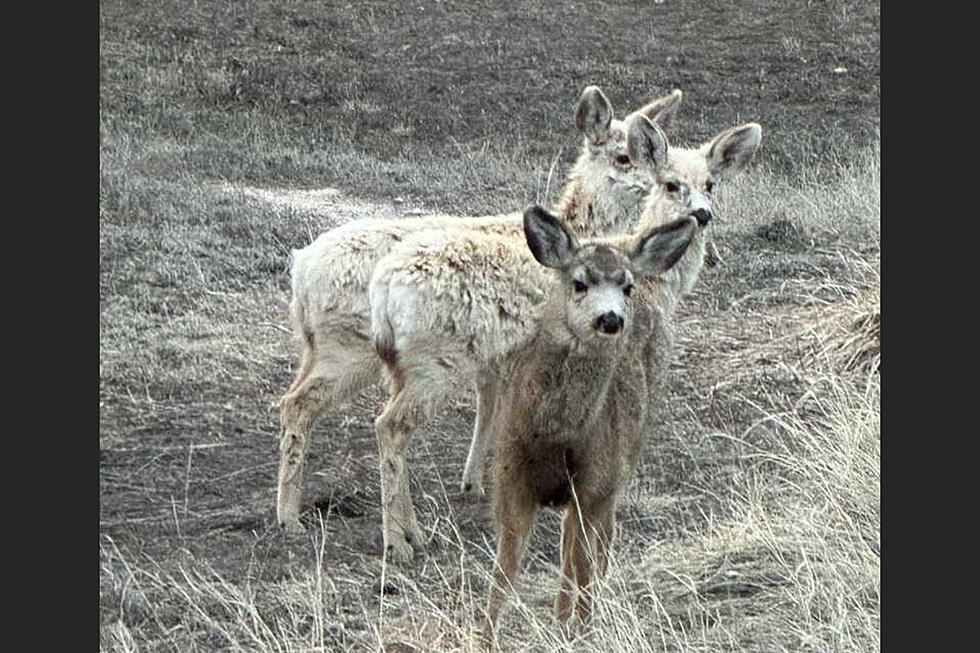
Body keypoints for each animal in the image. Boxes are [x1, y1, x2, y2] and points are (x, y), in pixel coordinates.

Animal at [280, 85, 684, 536]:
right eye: (624, 157)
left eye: (654, 154)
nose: (662, 184)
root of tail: (302, 270)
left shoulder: (496, 355)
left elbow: (489, 405)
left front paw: (473, 481)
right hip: (360, 350)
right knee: (315, 408)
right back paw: (307, 521)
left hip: (323, 348)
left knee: (292, 402)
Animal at [372, 113, 760, 560]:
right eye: (670, 183)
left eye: (711, 183)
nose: (701, 214)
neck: (657, 285)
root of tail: (382, 289)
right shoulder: (639, 359)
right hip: (437, 363)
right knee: (389, 426)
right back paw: (397, 541)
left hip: (404, 366)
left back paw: (412, 532)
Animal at [480, 206, 696, 644]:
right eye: (579, 282)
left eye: (626, 286)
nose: (610, 319)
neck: (555, 434)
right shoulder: (508, 473)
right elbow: (505, 567)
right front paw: (483, 637)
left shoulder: (596, 478)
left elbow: (580, 561)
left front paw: (576, 628)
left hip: (624, 460)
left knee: (596, 545)